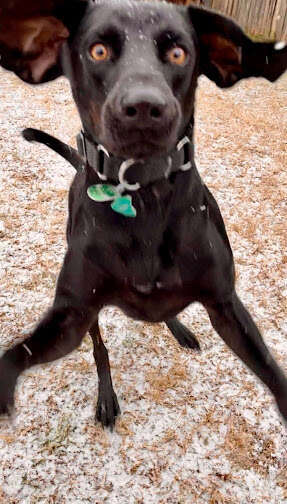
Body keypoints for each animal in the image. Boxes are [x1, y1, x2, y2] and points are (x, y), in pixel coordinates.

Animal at [0, 0, 287, 430]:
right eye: (98, 50)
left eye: (178, 53)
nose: (144, 108)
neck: (145, 195)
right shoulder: (73, 314)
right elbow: (21, 355)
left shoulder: (225, 305)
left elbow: (271, 369)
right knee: (99, 348)